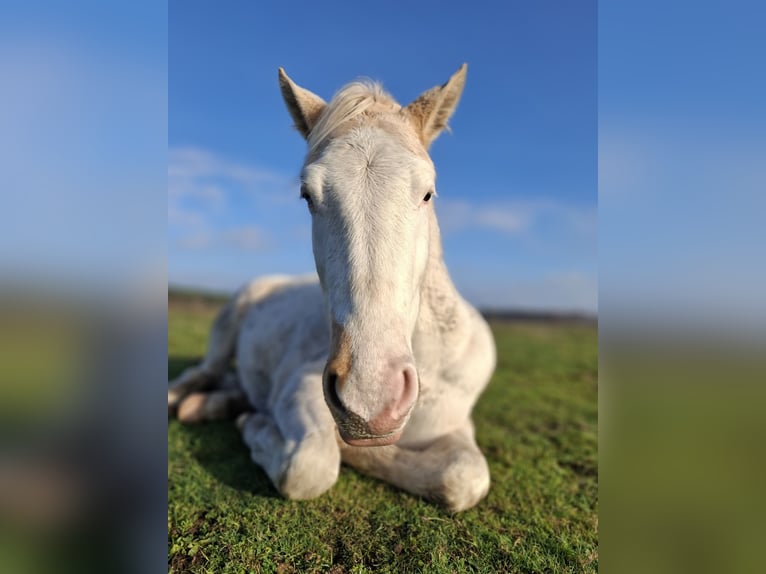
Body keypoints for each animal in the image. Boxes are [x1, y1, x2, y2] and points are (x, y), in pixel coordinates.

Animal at [168, 64, 496, 512]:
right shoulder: (299, 388)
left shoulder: (456, 423)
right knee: (204, 371)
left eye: (428, 192)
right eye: (307, 194)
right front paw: (255, 425)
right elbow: (311, 465)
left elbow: (464, 477)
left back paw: (215, 403)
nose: (370, 398)